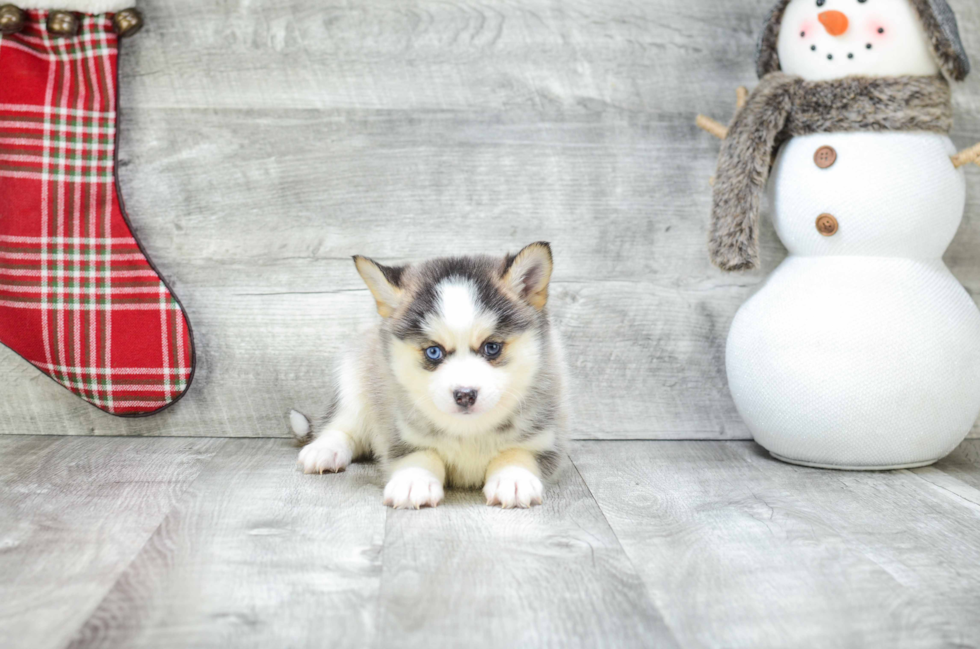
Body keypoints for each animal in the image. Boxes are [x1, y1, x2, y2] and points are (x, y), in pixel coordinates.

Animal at [290, 240, 568, 508]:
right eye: (434, 352)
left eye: (491, 347)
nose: (465, 395)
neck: (469, 430)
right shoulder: (400, 433)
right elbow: (420, 454)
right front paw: (414, 481)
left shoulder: (545, 437)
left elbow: (518, 452)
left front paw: (513, 478)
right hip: (354, 379)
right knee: (342, 424)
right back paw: (325, 449)